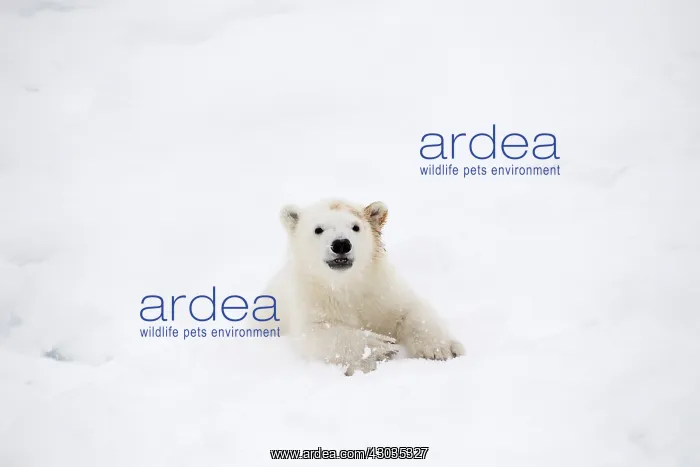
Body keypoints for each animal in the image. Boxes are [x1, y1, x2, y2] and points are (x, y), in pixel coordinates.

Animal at [262, 198, 464, 375]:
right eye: (318, 229)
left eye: (356, 227)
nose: (341, 244)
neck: (346, 285)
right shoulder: (313, 300)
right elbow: (315, 334)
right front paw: (378, 346)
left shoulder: (381, 290)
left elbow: (412, 309)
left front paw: (442, 349)